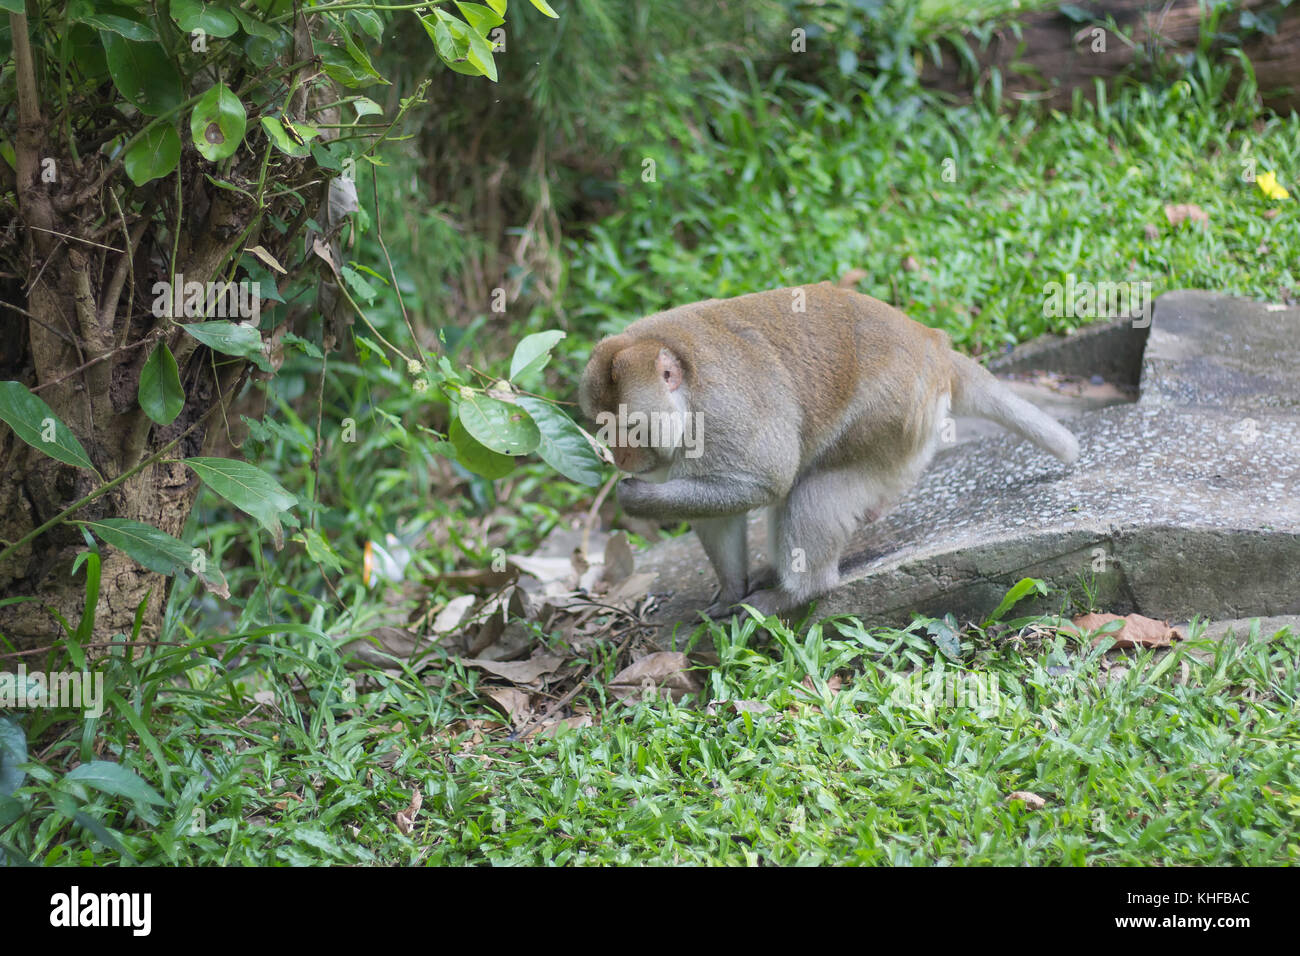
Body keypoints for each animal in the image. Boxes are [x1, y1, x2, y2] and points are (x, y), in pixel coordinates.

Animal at [579, 282, 1079, 619]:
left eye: (630, 428)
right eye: (604, 426)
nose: (620, 458)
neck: (685, 391)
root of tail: (930, 342)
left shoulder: (726, 412)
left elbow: (767, 479)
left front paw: (638, 500)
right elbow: (719, 516)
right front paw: (731, 589)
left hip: (891, 415)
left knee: (811, 491)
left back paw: (796, 592)